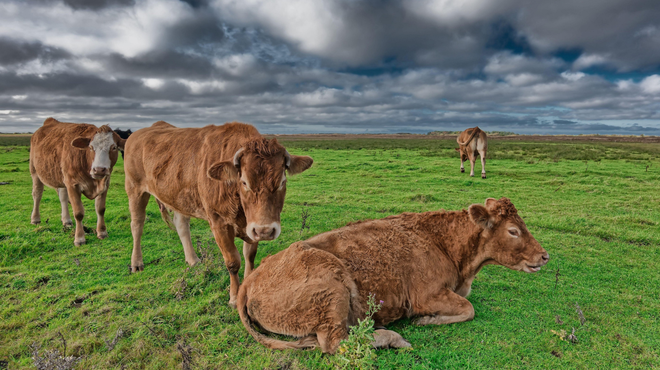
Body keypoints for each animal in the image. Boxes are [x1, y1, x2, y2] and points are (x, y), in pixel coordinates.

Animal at [29, 117, 126, 247]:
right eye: (91, 147)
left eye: (113, 147)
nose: (99, 169)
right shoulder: (72, 185)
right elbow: (78, 213)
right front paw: (79, 238)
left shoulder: (105, 184)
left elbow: (100, 209)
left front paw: (102, 232)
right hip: (35, 171)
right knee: (37, 194)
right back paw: (35, 219)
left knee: (63, 197)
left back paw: (66, 221)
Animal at [124, 120, 314, 306]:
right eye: (244, 182)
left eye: (282, 181)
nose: (265, 231)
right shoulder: (218, 223)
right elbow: (233, 261)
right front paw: (234, 297)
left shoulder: (251, 227)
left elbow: (249, 256)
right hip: (135, 189)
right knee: (137, 225)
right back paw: (136, 263)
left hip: (179, 196)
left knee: (181, 224)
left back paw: (193, 260)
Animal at [237, 198, 548, 354]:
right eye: (513, 231)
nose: (544, 256)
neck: (442, 241)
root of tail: (249, 281)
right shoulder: (426, 296)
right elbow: (468, 309)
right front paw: (425, 320)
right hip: (332, 287)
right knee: (335, 342)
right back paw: (393, 338)